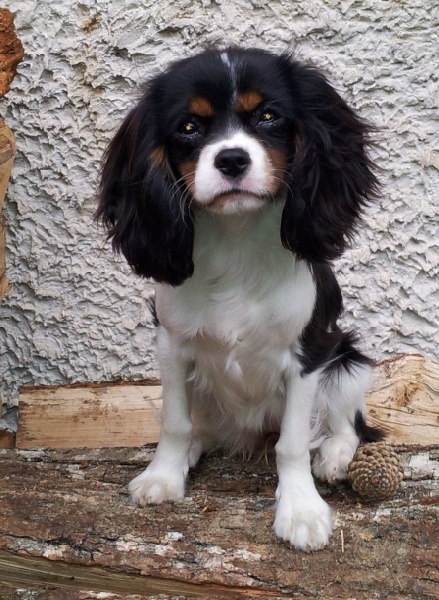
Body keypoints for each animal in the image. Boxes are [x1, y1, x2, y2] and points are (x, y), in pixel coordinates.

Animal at [98, 48, 384, 552]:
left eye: (268, 116)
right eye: (189, 127)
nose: (231, 158)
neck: (236, 239)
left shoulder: (309, 352)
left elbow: (292, 443)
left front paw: (300, 510)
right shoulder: (172, 345)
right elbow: (174, 421)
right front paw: (163, 476)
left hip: (349, 358)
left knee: (347, 421)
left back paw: (333, 455)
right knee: (201, 425)